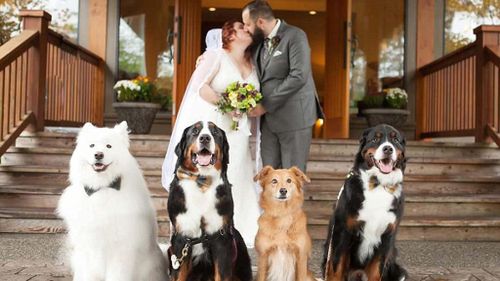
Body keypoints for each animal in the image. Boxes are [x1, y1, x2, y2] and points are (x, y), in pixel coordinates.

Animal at [57, 121, 168, 280]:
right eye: (92, 145)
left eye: (109, 146)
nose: (98, 154)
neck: (101, 187)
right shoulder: (87, 245)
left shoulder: (120, 248)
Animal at [167, 120, 252, 280]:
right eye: (195, 132)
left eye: (215, 133)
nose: (205, 138)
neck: (202, 182)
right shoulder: (182, 239)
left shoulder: (221, 238)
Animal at [322, 123, 408, 278]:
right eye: (375, 139)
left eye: (395, 140)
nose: (388, 148)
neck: (378, 184)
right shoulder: (342, 233)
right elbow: (336, 270)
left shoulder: (386, 237)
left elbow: (376, 272)